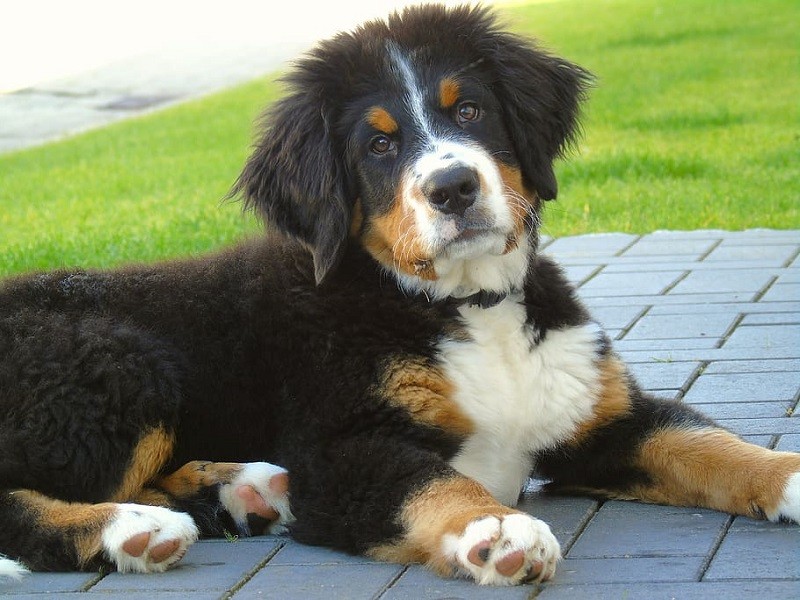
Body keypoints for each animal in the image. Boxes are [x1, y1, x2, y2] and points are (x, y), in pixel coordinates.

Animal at [0, 3, 796, 584]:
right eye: (378, 145)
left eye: (469, 110)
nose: (453, 187)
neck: (469, 306)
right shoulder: (339, 451)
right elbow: (430, 482)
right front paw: (493, 526)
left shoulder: (600, 418)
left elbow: (708, 444)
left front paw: (788, 475)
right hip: (117, 362)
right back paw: (132, 529)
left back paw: (246, 492)